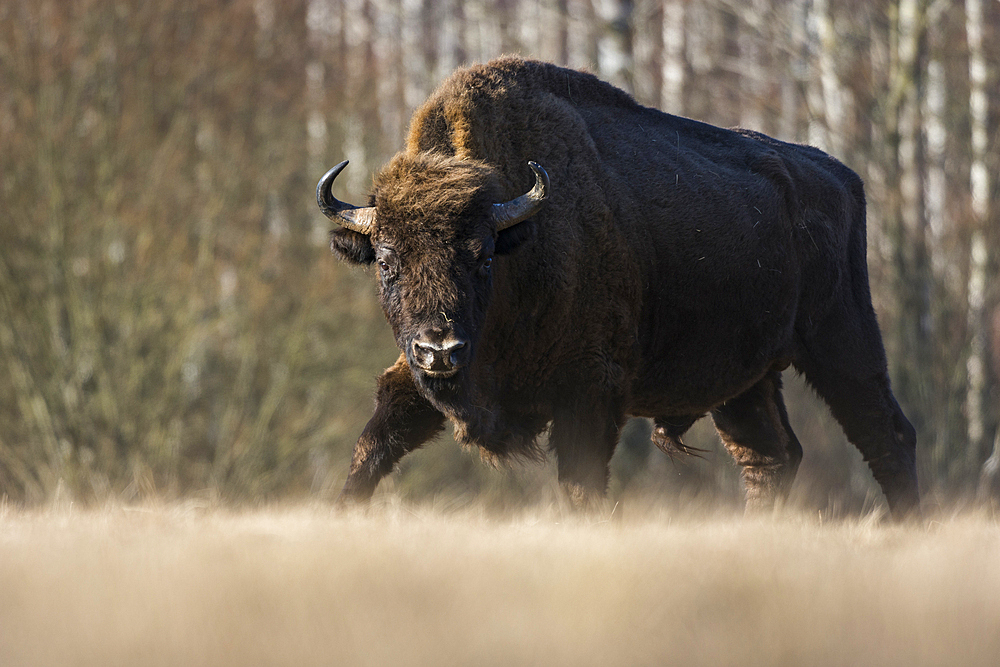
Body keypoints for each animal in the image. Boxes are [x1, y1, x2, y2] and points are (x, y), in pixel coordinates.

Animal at [316, 56, 916, 516]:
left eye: (482, 257)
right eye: (386, 260)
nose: (440, 350)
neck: (522, 240)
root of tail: (842, 177)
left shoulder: (590, 390)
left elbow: (582, 486)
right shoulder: (413, 376)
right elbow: (373, 444)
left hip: (842, 341)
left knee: (887, 434)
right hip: (744, 379)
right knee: (772, 456)